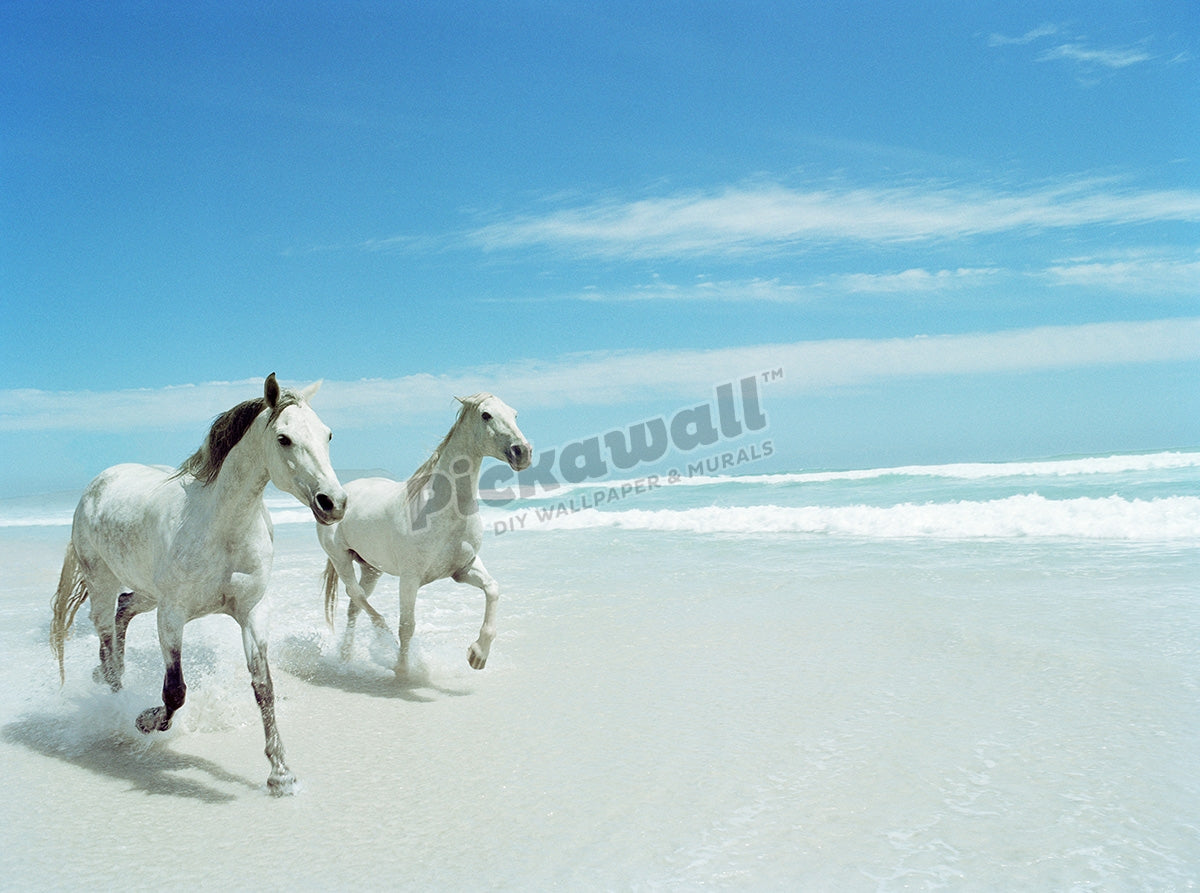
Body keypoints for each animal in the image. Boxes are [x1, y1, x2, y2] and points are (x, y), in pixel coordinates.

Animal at [50, 374, 346, 795]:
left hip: (146, 592)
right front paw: (147, 721)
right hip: (103, 584)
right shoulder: (172, 616)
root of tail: (99, 481)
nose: (333, 502)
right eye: (284, 438)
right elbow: (175, 691)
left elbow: (264, 688)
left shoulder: (252, 613)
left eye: (327, 435)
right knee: (109, 646)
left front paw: (281, 774)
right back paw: (118, 710)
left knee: (124, 612)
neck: (223, 528)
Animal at [318, 393, 530, 676]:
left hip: (371, 569)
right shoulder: (410, 579)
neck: (443, 509)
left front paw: (477, 655)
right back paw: (382, 640)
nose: (523, 452)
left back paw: (346, 657)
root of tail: (337, 498)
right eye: (486, 415)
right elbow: (407, 626)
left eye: (515, 414)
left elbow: (493, 589)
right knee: (357, 596)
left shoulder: (464, 569)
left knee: (355, 607)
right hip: (341, 559)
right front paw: (402, 670)